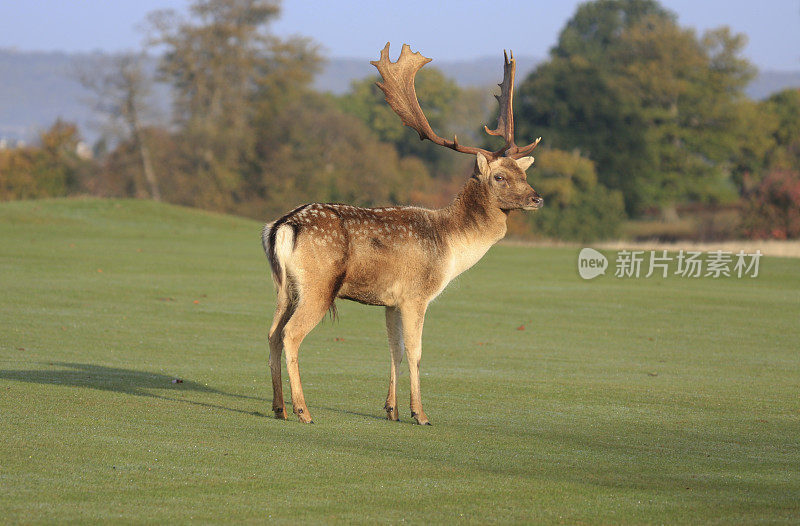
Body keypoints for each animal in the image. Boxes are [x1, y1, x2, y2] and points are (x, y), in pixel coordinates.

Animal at [262, 43, 544, 426]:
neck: (450, 244)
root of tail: (283, 226)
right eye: (500, 177)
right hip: (319, 284)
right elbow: (415, 351)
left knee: (273, 334)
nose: (537, 198)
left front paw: (391, 409)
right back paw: (303, 410)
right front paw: (420, 413)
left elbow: (393, 349)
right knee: (291, 335)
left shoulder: (391, 301)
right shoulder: (416, 293)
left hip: (284, 287)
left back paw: (279, 407)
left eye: (523, 173)